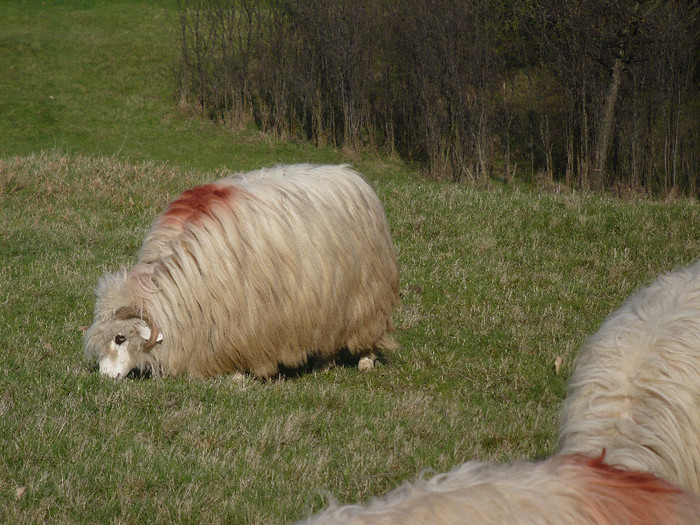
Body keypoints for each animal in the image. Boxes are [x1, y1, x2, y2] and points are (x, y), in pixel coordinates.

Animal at [82, 163, 400, 376]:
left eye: (120, 338)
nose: (105, 376)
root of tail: (350, 174)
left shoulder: (247, 317)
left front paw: (240, 375)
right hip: (329, 299)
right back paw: (323, 363)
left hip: (366, 293)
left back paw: (365, 361)